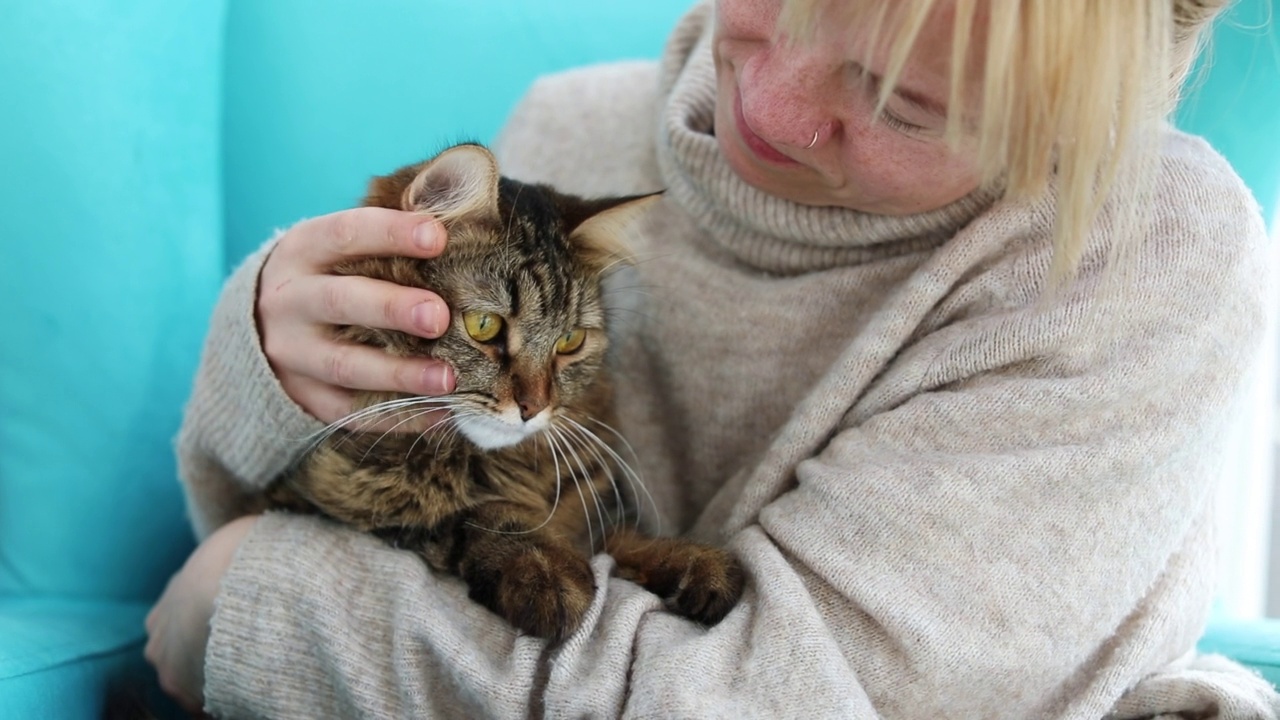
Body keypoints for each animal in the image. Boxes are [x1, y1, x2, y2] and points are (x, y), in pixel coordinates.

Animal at [264, 142, 747, 635]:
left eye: (569, 341)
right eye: (484, 326)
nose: (534, 407)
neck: (501, 468)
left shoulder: (601, 507)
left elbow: (624, 537)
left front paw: (693, 561)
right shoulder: (315, 496)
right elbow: (475, 515)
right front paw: (546, 569)